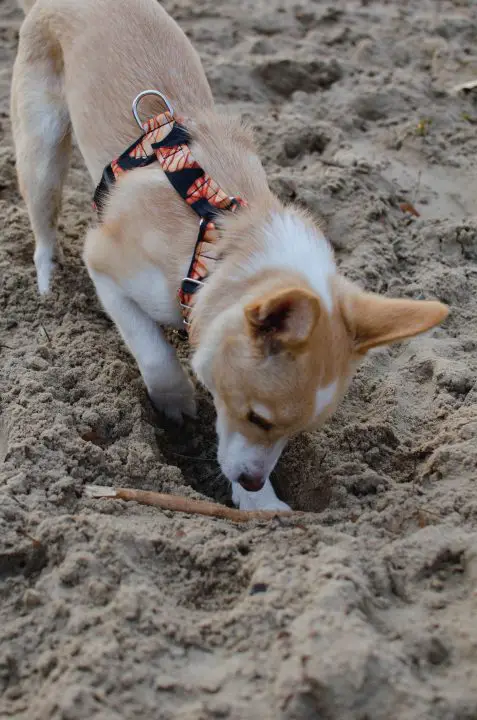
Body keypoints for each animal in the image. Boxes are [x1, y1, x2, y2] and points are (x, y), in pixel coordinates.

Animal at [11, 0, 448, 512]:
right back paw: (46, 283)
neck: (215, 244)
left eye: (299, 431)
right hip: (41, 147)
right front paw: (177, 403)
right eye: (258, 418)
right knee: (43, 218)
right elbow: (154, 351)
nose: (256, 482)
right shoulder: (105, 265)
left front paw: (260, 504)